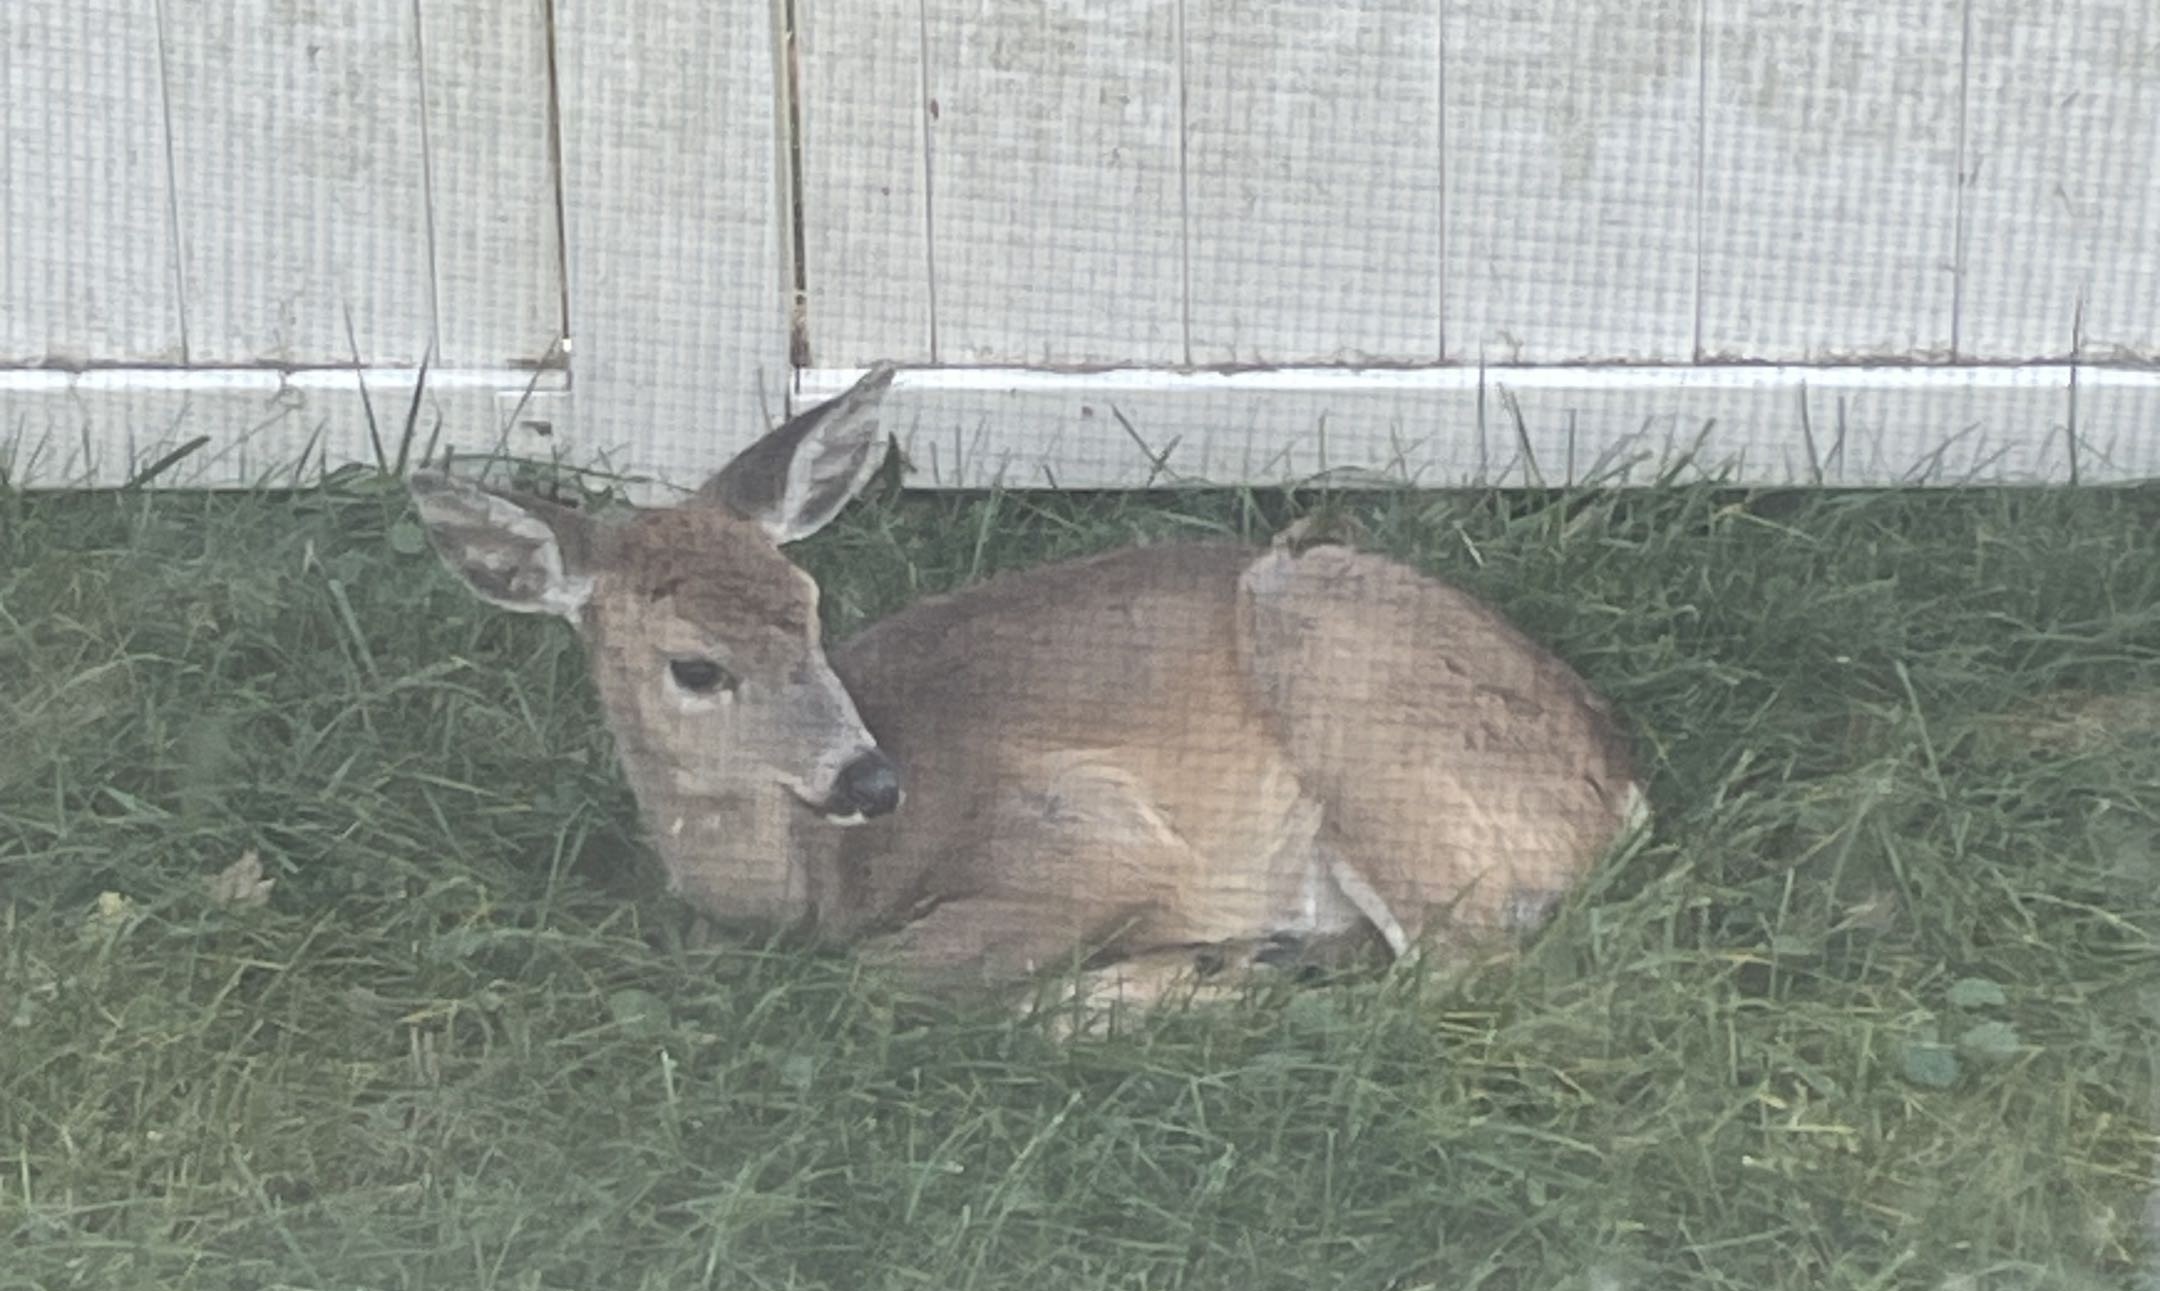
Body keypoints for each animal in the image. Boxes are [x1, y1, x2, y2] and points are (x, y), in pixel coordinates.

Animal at [408, 364, 1648, 1014]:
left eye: (810, 607)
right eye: (696, 666)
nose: (870, 778)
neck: (817, 881)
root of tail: (1618, 789)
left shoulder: (1092, 827)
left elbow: (879, 975)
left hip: (1353, 707)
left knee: (1450, 965)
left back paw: (1120, 998)